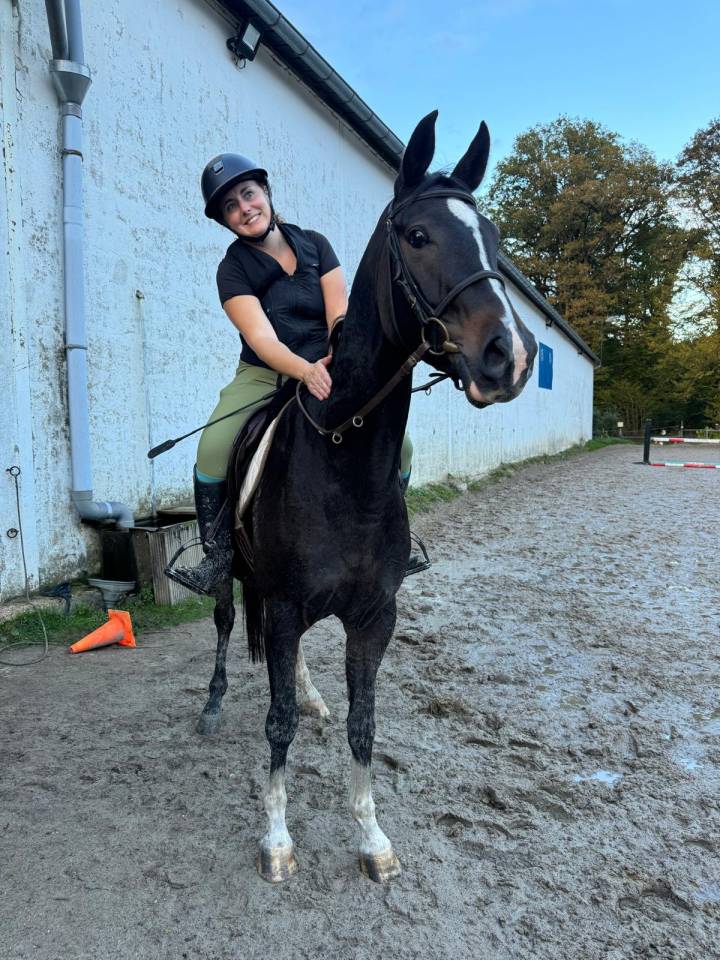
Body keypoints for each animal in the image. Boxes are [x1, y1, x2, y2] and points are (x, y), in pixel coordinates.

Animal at [196, 111, 537, 883]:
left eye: (495, 238)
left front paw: (372, 839)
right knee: (229, 627)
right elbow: (278, 723)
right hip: (233, 575)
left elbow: (363, 724)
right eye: (417, 236)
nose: (510, 356)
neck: (342, 464)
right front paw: (277, 840)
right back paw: (212, 706)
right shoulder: (286, 605)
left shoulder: (372, 616)